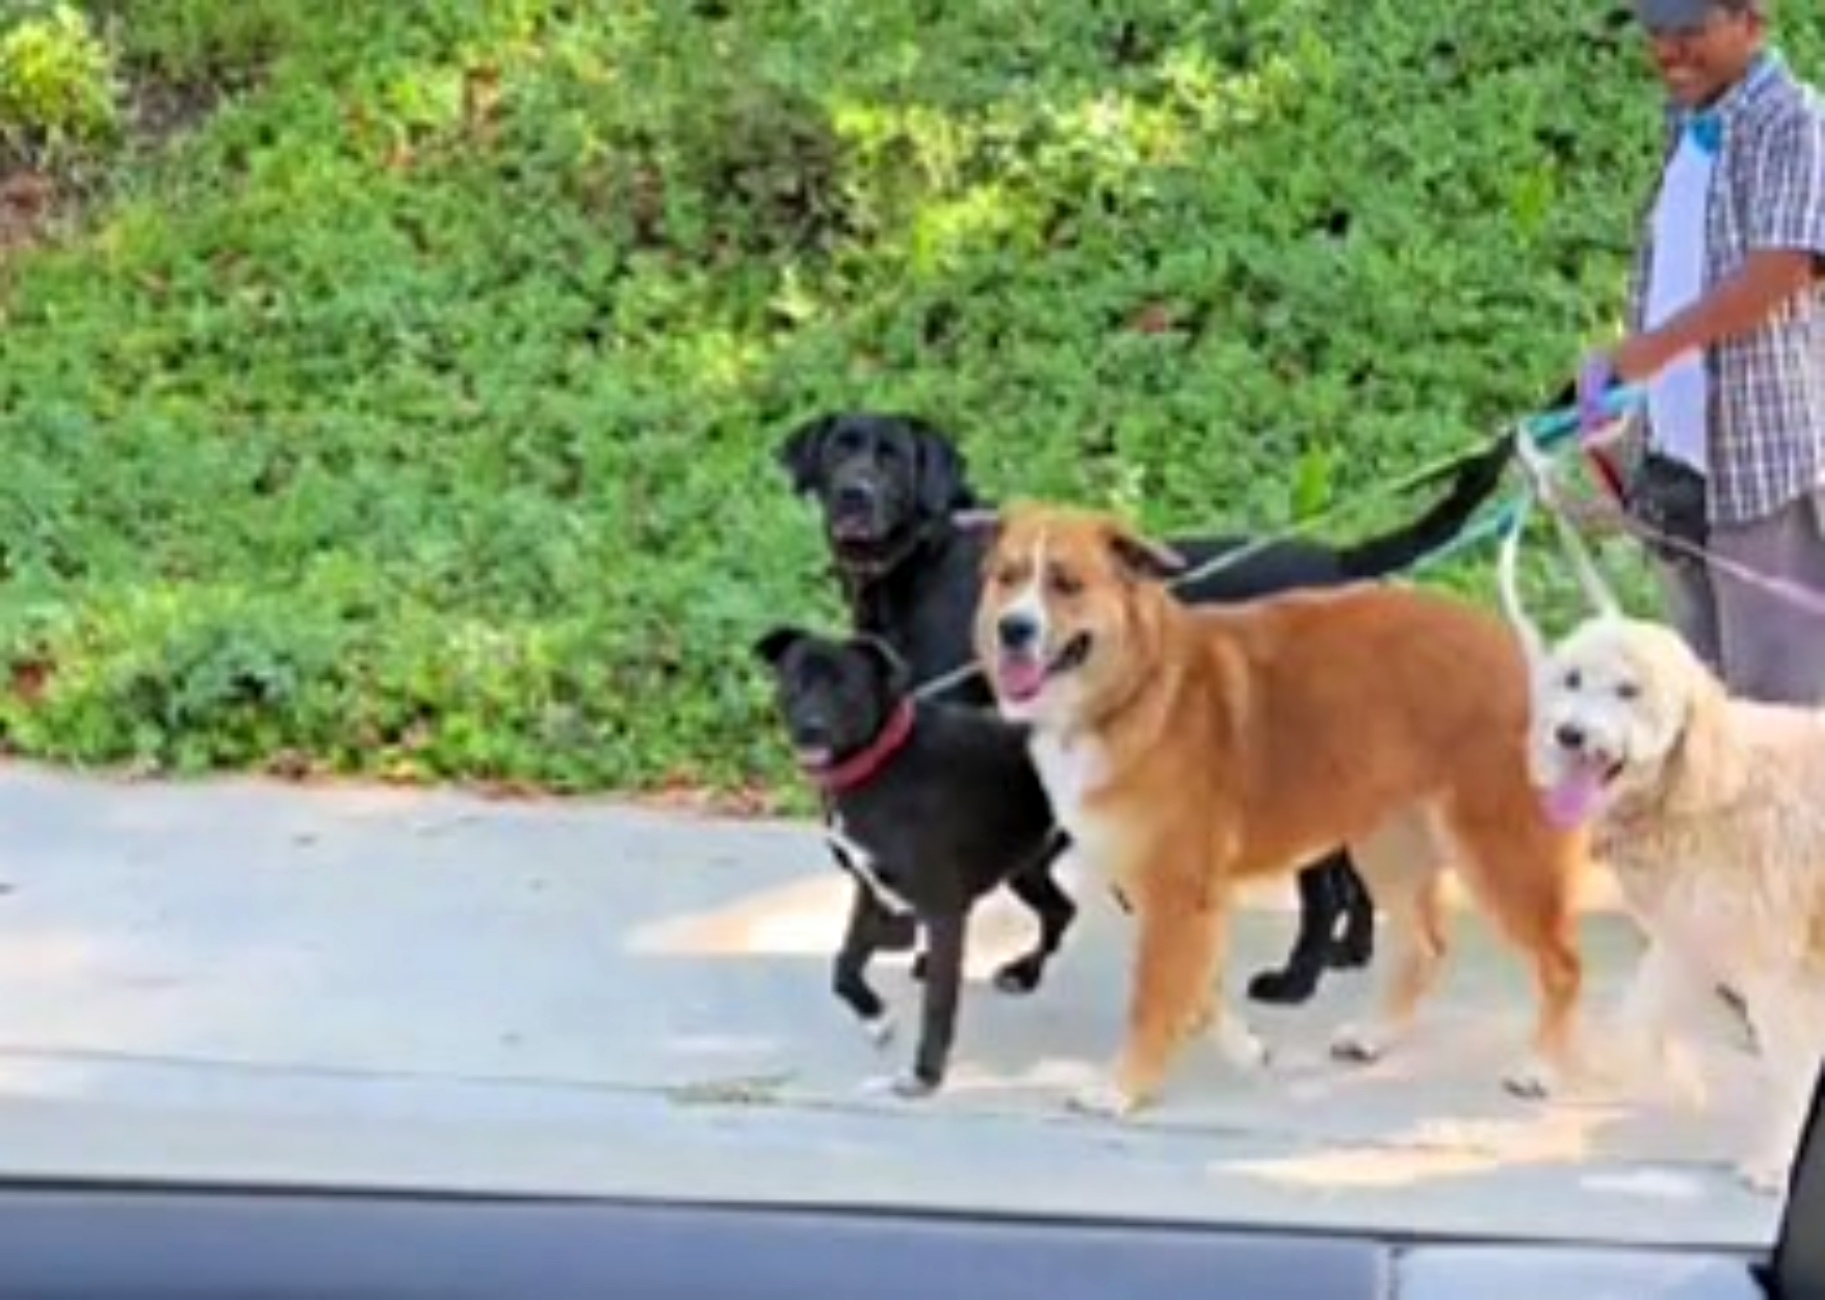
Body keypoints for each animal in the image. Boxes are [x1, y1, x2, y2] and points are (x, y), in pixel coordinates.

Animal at [748, 624, 1065, 1088]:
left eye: (846, 686)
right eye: (795, 681)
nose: (810, 729)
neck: (880, 761)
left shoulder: (944, 910)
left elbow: (937, 1003)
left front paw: (926, 1073)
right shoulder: (870, 888)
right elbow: (844, 964)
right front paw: (876, 1018)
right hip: (1026, 865)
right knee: (1062, 911)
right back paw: (1024, 974)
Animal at [770, 408, 1511, 1007]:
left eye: (892, 456)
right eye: (840, 450)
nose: (855, 494)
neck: (920, 556)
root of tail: (1342, 564)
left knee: (1322, 884)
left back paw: (1297, 978)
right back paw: (1348, 951)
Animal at [963, 500, 1591, 1117]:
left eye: (1066, 583)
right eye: (1008, 577)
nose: (1013, 628)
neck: (1138, 687)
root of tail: (1530, 657)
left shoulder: (1177, 891)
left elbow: (1155, 998)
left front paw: (1124, 1086)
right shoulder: (1186, 897)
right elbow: (1202, 987)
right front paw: (1243, 1047)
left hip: (1503, 858)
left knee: (1562, 965)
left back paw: (1540, 1069)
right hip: (1389, 849)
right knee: (1425, 948)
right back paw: (1376, 1034)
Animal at [1533, 613, 1825, 1190]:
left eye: (1628, 691)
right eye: (1572, 679)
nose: (1569, 733)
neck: (1708, 788)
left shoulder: (1783, 976)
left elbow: (1788, 1071)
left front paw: (1774, 1160)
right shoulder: (1690, 938)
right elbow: (1636, 1017)